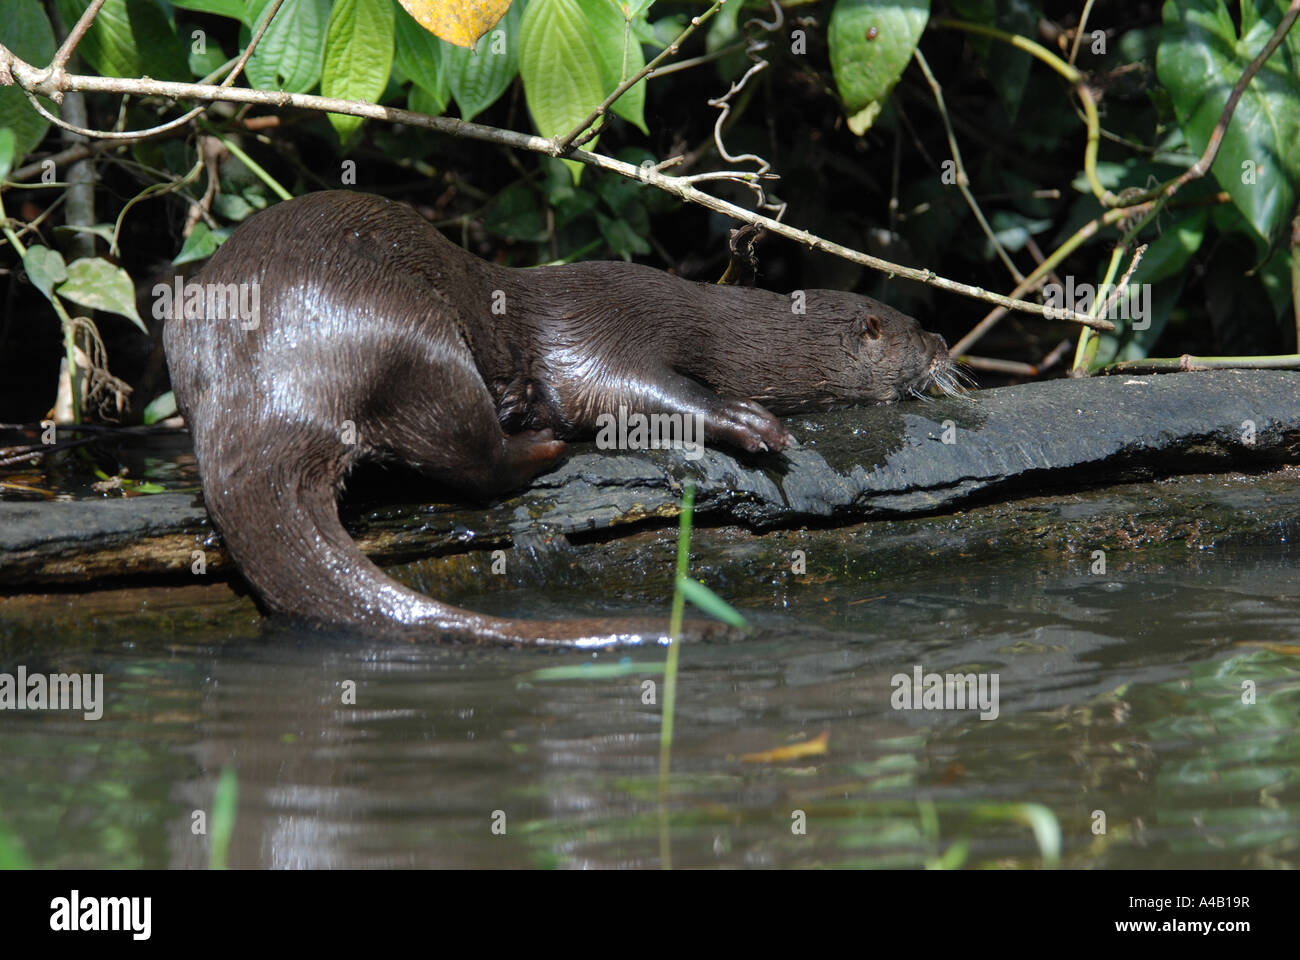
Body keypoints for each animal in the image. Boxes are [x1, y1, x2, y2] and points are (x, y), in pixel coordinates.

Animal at [162, 188, 956, 642]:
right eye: (917, 328)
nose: (947, 344)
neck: (718, 327)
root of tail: (261, 390)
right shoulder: (609, 329)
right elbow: (632, 390)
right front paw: (750, 420)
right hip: (410, 334)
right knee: (471, 458)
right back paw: (539, 443)